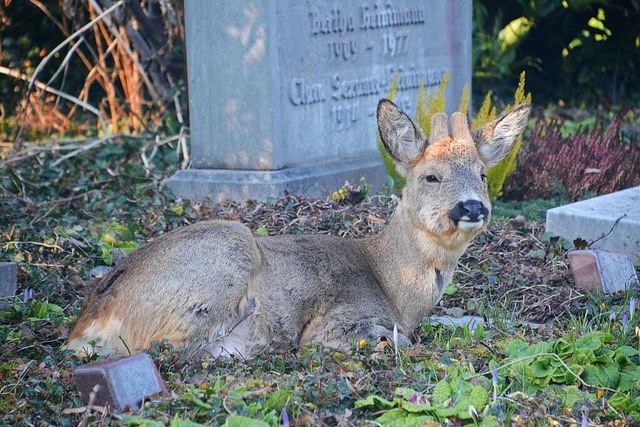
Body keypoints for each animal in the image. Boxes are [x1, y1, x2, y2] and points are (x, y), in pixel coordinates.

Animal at [67, 99, 532, 358]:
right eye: (431, 176)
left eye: (483, 175)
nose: (472, 206)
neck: (393, 286)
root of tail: (87, 323)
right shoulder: (339, 321)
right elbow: (397, 339)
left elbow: (469, 320)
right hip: (226, 257)